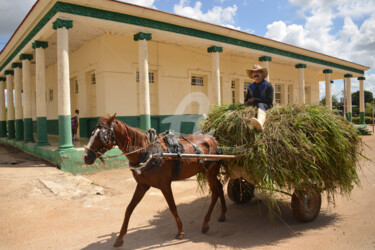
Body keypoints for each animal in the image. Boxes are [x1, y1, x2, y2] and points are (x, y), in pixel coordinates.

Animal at [82, 114, 228, 247]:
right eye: (92, 133)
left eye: (103, 136)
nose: (85, 157)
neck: (147, 152)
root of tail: (212, 138)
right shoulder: (142, 185)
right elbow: (129, 208)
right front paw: (120, 238)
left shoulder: (165, 185)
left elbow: (172, 207)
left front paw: (180, 231)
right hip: (208, 172)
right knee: (220, 187)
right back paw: (222, 214)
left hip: (210, 171)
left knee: (215, 192)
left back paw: (206, 223)